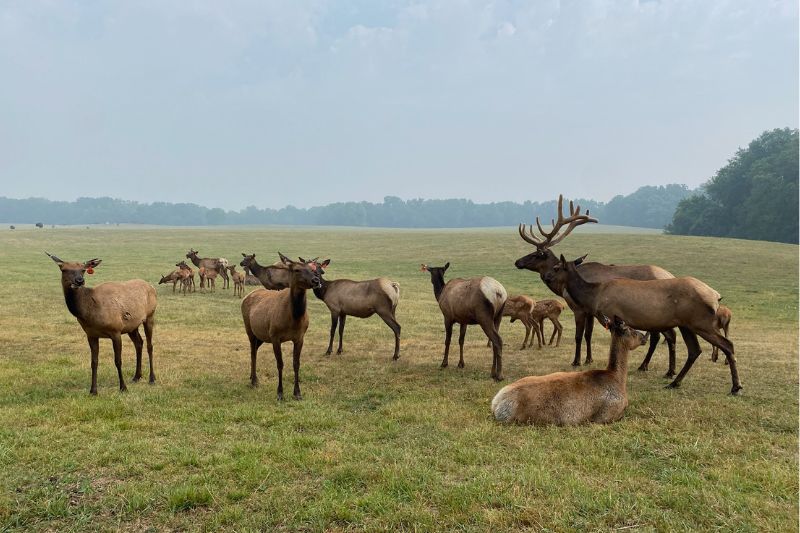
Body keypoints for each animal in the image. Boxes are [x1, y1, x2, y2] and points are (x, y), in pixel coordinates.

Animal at [46, 253, 157, 395]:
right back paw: (137, 376)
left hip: (150, 315)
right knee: (139, 343)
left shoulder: (116, 330)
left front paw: (123, 387)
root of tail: (152, 287)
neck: (90, 312)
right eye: (64, 269)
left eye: (83, 269)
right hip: (132, 326)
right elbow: (94, 362)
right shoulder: (91, 334)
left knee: (150, 345)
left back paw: (152, 378)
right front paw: (93, 390)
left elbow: (118, 361)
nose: (79, 281)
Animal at [241, 253, 321, 400]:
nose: (316, 280)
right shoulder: (275, 336)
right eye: (296, 269)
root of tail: (246, 297)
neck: (294, 319)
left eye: (312, 269)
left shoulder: (300, 337)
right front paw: (280, 393)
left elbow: (296, 364)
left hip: (262, 335)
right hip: (249, 329)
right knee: (252, 351)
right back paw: (254, 381)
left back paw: (251, 377)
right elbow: (280, 364)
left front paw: (297, 393)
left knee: (255, 349)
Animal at [515, 195, 678, 377]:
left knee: (663, 336)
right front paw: (589, 359)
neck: (563, 287)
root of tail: (671, 275)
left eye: (536, 254)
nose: (517, 262)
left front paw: (576, 361)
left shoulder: (578, 308)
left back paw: (654, 367)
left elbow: (579, 335)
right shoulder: (591, 311)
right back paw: (653, 366)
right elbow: (589, 335)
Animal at [546, 255, 742, 395]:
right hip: (687, 324)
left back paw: (736, 387)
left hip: (701, 322)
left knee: (727, 344)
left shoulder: (611, 317)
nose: (546, 277)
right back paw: (674, 382)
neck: (594, 296)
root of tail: (716, 296)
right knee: (695, 350)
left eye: (556, 268)